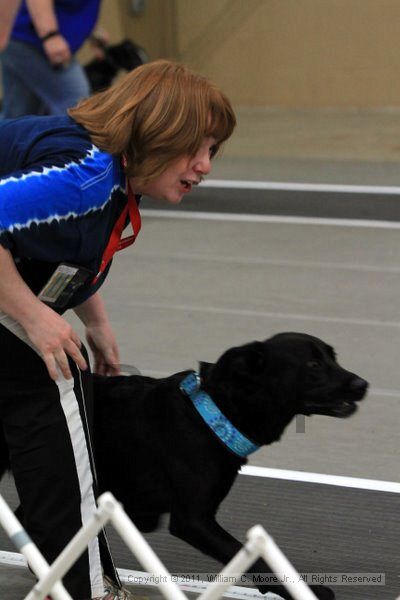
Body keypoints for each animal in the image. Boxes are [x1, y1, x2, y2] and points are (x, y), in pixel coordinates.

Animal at [92, 332, 368, 600]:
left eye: (333, 357)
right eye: (313, 364)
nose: (362, 384)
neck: (212, 417)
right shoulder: (193, 520)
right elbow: (256, 561)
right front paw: (310, 591)